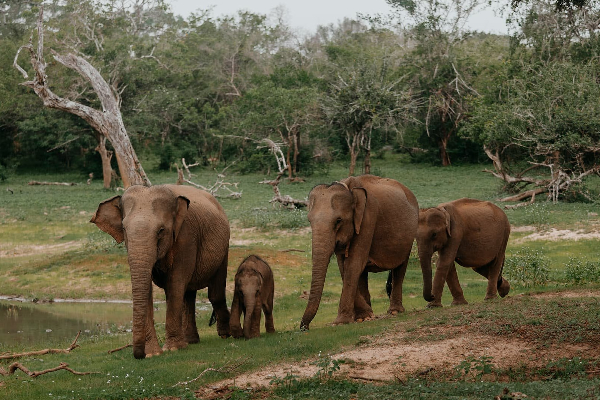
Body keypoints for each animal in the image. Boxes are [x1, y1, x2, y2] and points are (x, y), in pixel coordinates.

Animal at [92, 184, 231, 360]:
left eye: (161, 230)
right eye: (123, 229)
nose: (139, 355)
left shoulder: (186, 236)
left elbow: (176, 282)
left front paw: (173, 349)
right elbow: (148, 289)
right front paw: (152, 353)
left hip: (224, 247)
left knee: (214, 293)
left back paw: (225, 335)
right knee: (189, 295)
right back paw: (191, 341)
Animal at [300, 173, 418, 330]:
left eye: (338, 220)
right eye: (309, 221)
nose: (304, 328)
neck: (349, 189)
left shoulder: (368, 217)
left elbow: (354, 264)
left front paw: (341, 322)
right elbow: (344, 266)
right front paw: (364, 317)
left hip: (410, 235)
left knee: (400, 268)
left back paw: (395, 312)